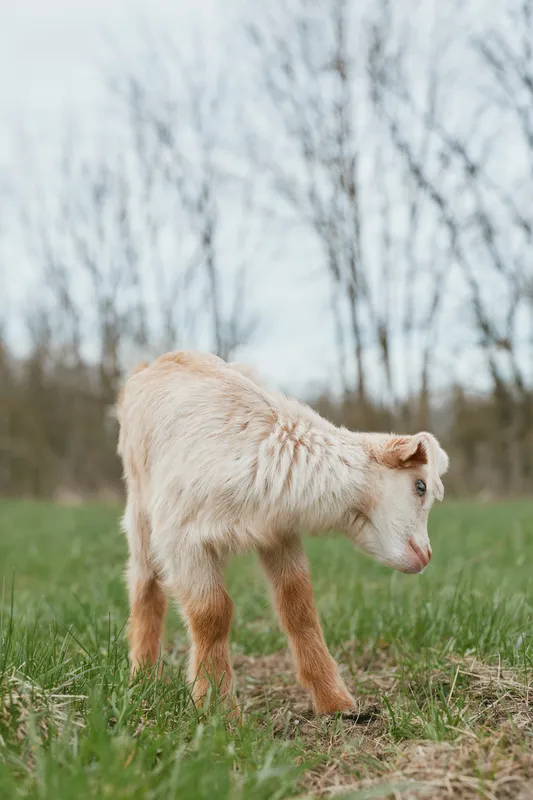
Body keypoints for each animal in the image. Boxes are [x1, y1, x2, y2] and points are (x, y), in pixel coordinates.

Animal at [117, 351, 449, 715]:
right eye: (420, 486)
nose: (426, 555)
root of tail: (157, 361)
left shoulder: (277, 533)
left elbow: (298, 607)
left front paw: (335, 702)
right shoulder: (182, 539)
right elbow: (212, 614)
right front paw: (218, 710)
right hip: (140, 508)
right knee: (145, 585)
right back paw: (142, 677)